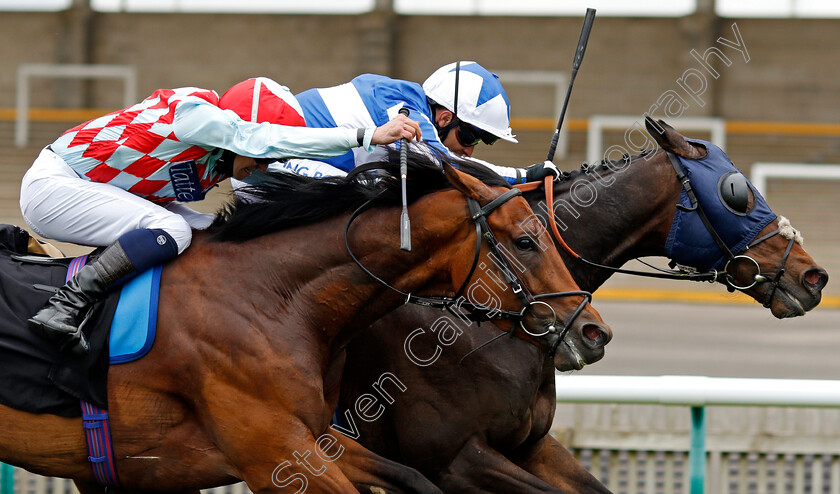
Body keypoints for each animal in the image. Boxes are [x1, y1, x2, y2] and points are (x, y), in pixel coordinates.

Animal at [3, 156, 612, 492]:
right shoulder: (275, 455)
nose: (593, 332)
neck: (271, 297)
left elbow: (411, 479)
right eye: (527, 241)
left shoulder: (320, 437)